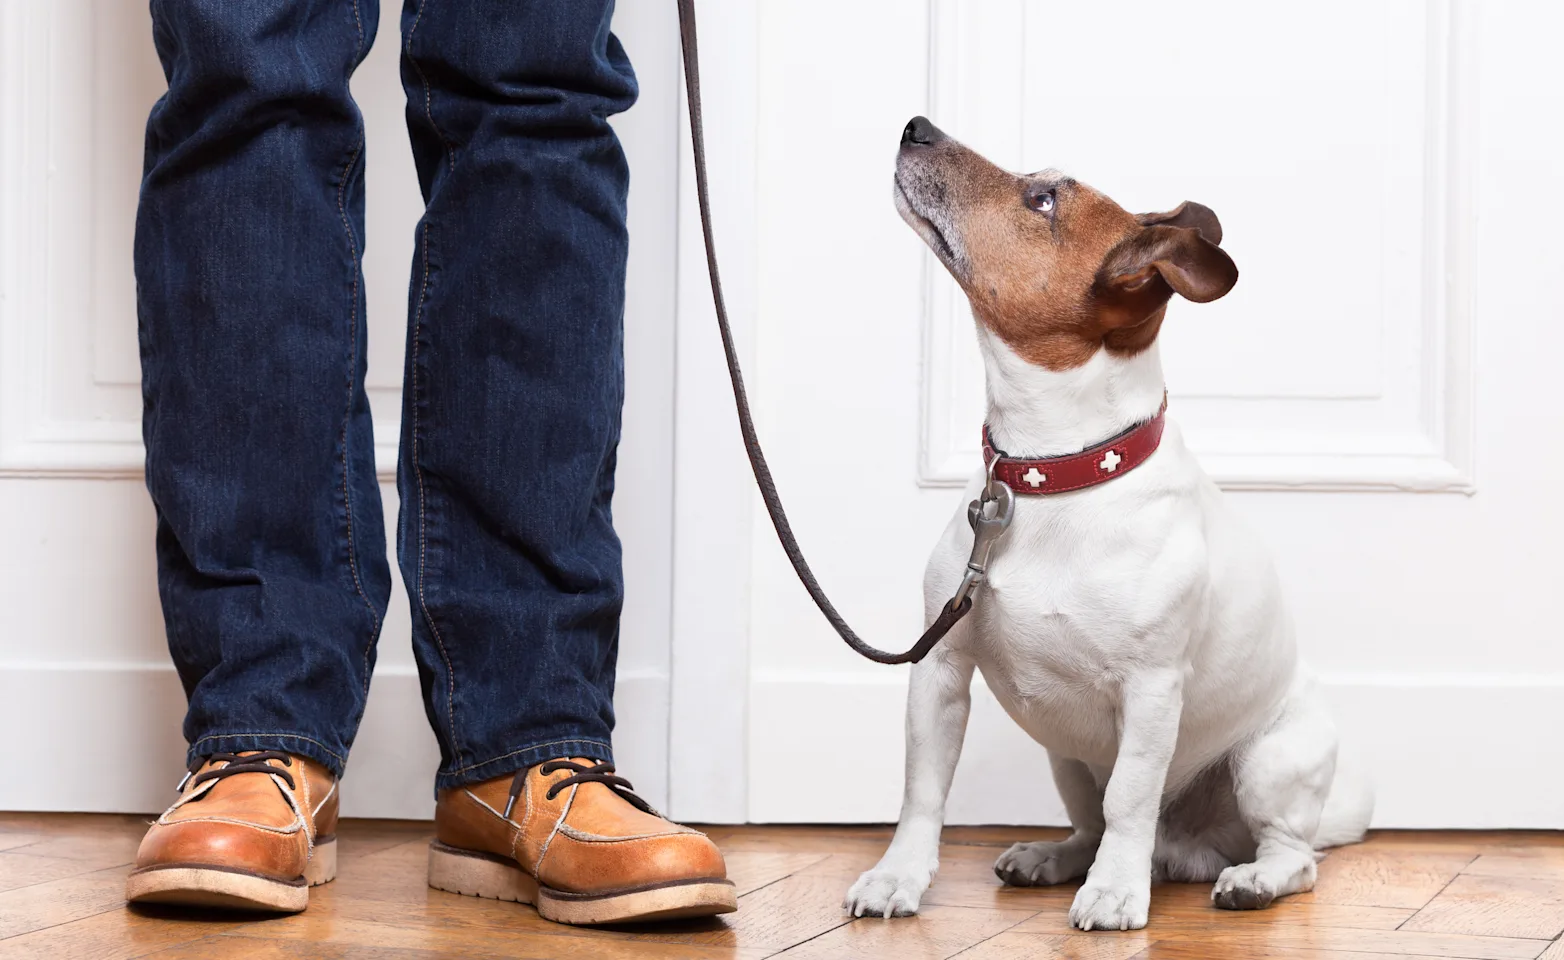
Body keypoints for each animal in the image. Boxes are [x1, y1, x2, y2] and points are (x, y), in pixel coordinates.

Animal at [844, 118, 1370, 931]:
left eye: (1043, 199)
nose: (916, 126)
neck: (1054, 474)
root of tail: (1188, 850)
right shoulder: (940, 670)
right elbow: (923, 791)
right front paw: (897, 877)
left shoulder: (1151, 691)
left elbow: (1132, 797)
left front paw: (1117, 892)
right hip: (1067, 759)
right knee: (1090, 823)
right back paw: (1055, 857)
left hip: (1269, 764)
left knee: (1292, 855)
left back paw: (1241, 878)